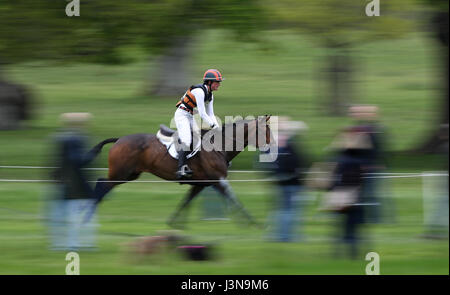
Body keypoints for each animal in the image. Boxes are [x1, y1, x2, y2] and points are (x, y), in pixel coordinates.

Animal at [85, 114, 274, 228]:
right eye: (264, 131)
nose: (272, 148)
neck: (219, 147)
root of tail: (119, 140)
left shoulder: (202, 184)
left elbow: (186, 201)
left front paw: (176, 224)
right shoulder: (217, 180)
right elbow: (234, 199)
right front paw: (252, 223)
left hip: (129, 175)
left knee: (102, 183)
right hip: (120, 173)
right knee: (102, 184)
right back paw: (89, 213)